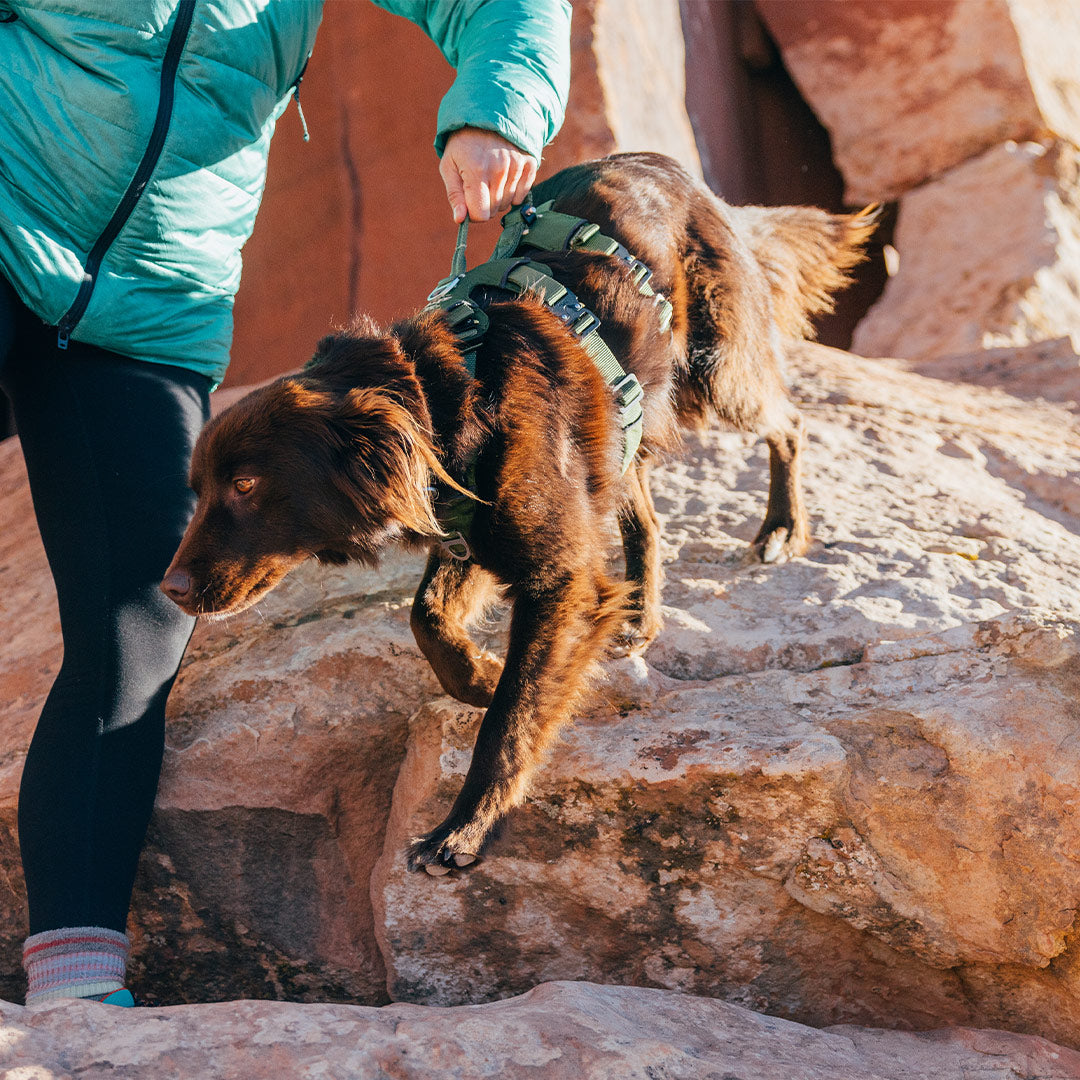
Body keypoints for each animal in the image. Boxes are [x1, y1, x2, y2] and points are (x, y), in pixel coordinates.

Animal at [159, 152, 872, 872]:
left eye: (245, 484)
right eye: (197, 487)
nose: (169, 589)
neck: (448, 403)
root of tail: (667, 166)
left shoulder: (556, 579)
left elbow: (514, 716)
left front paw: (465, 828)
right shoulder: (469, 526)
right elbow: (427, 617)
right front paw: (478, 676)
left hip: (718, 367)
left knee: (787, 420)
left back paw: (782, 526)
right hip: (621, 428)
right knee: (641, 508)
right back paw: (641, 614)